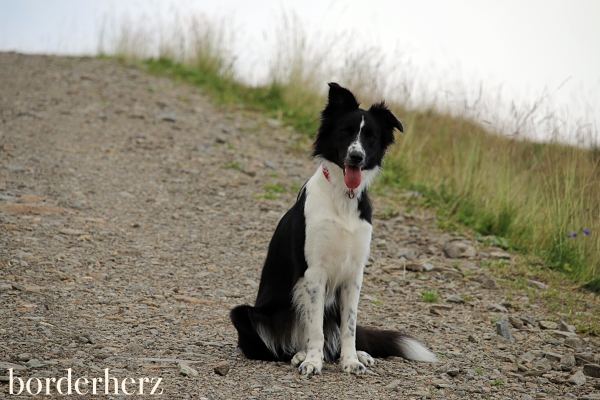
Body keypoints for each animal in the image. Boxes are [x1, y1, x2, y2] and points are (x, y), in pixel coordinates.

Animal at [230, 82, 436, 376]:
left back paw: (356, 354)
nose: (356, 157)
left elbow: (349, 325)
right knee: (281, 346)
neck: (343, 197)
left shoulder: (353, 274)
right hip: (244, 314)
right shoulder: (314, 272)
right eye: (345, 131)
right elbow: (315, 328)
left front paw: (349, 360)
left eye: (371, 137)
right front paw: (312, 362)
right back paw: (300, 355)